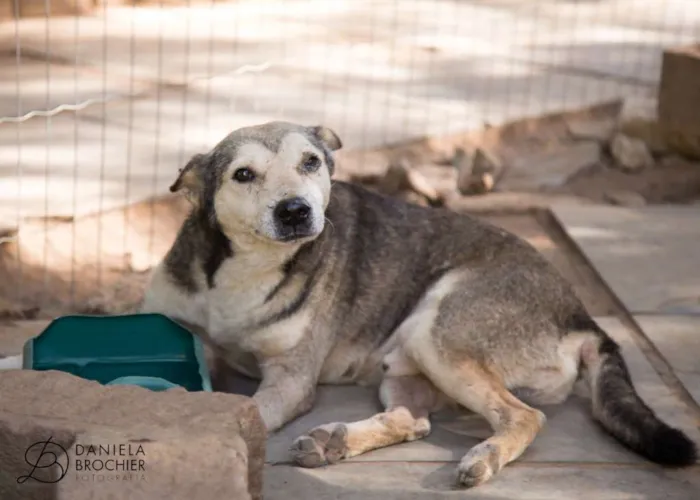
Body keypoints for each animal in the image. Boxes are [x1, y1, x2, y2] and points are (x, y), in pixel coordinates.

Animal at [138, 122, 696, 488]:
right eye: (243, 175)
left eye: (310, 162)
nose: (296, 211)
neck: (244, 269)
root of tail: (581, 317)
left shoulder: (290, 380)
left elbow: (249, 409)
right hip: (404, 362)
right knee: (415, 420)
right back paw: (335, 442)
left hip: (438, 332)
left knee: (524, 416)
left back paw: (484, 457)